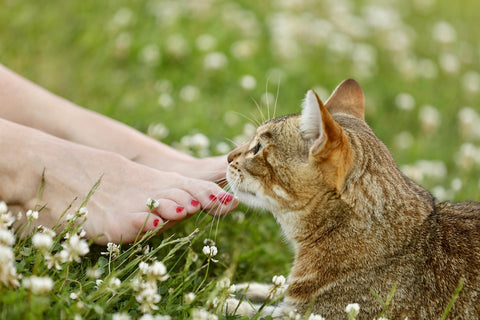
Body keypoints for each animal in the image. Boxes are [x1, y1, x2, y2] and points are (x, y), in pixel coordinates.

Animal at [223, 79, 480, 318]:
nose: (228, 157)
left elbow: (257, 311)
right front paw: (249, 288)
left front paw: (226, 300)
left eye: (258, 147)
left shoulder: (315, 313)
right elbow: (277, 290)